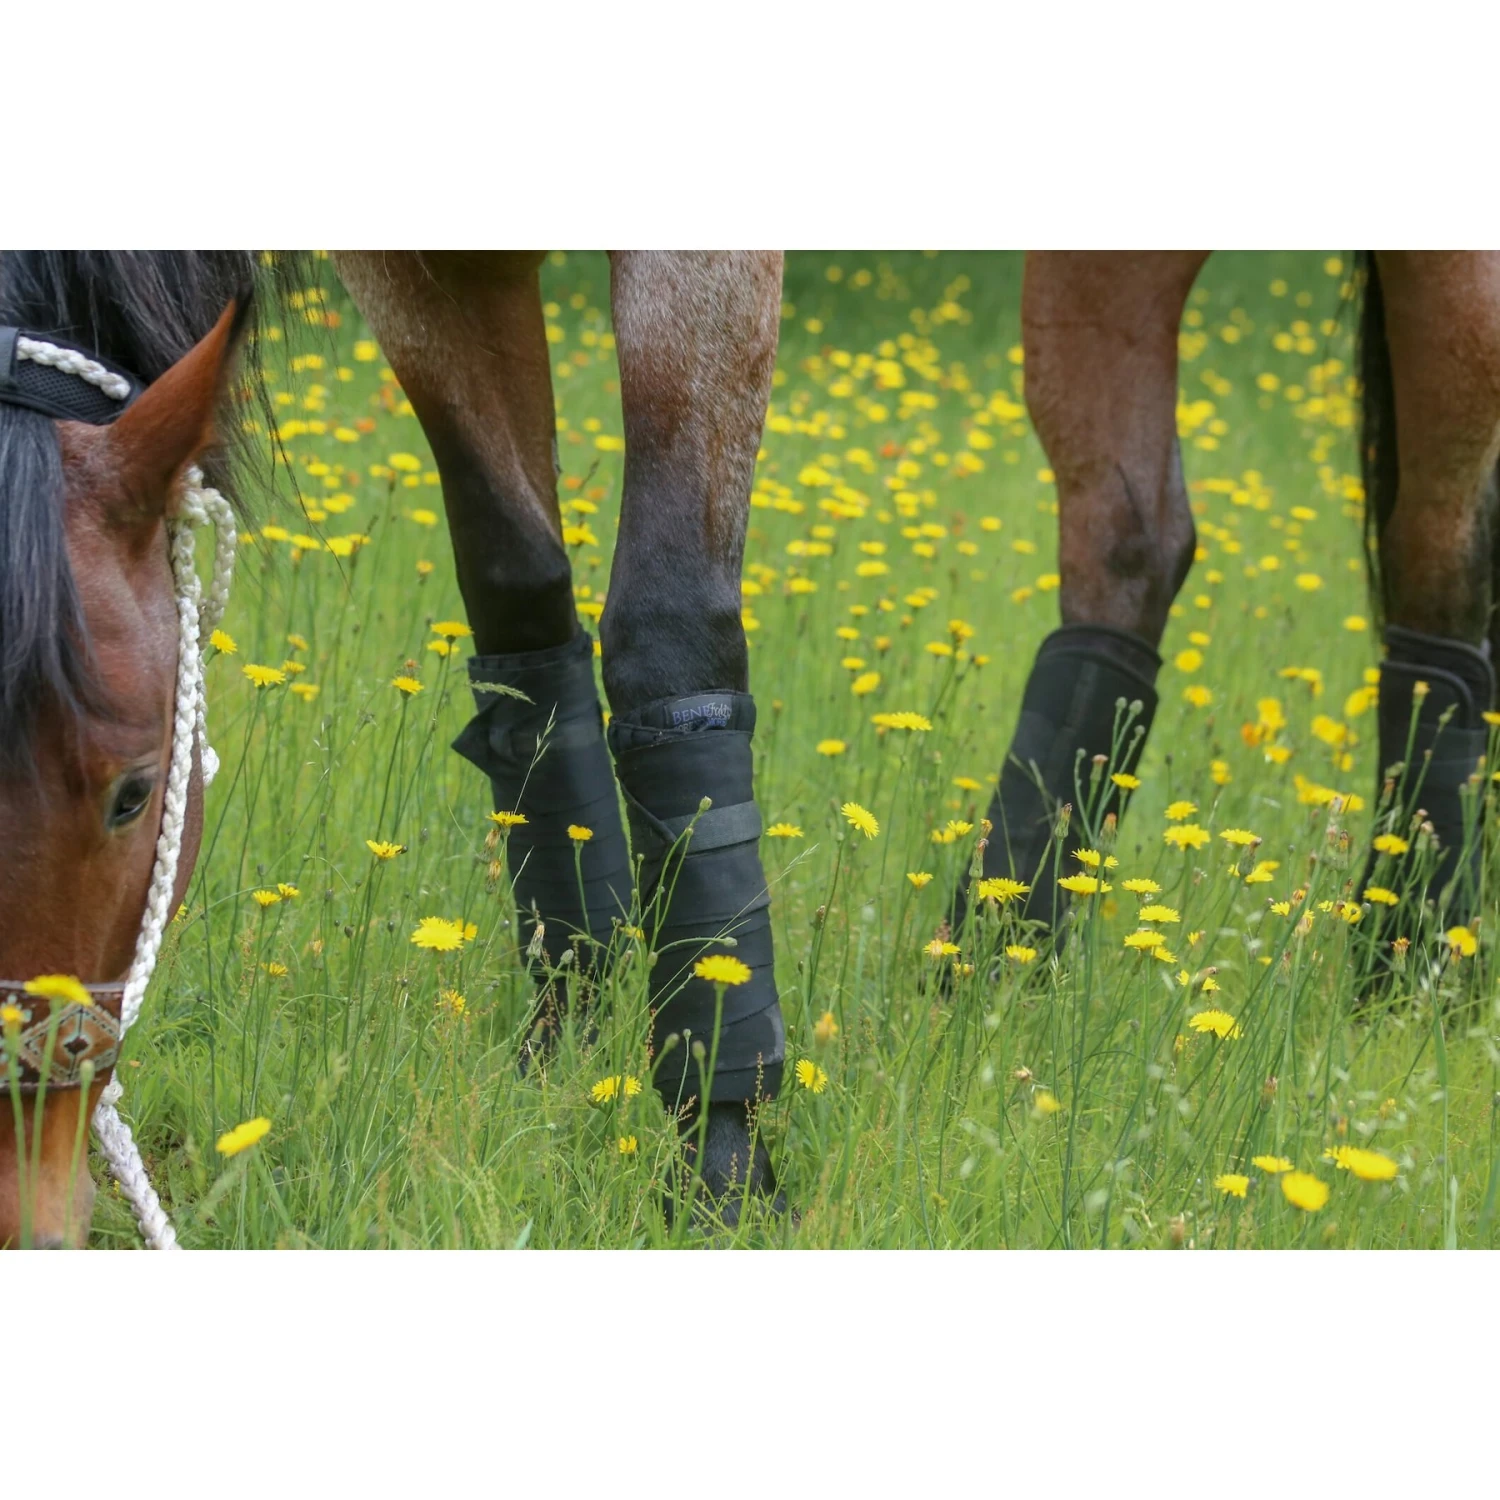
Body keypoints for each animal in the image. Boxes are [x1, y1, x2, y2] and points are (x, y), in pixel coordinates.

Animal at [0, 250, 787, 1247]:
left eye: (135, 795)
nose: (20, 1213)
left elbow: (670, 633)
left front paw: (724, 1171)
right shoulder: (417, 275)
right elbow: (518, 588)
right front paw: (559, 1047)